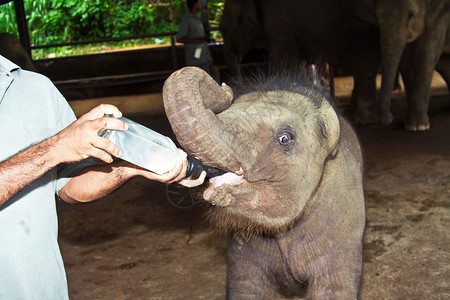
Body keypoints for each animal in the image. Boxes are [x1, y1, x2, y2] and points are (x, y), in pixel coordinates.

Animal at [366, 0, 450, 131]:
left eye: (410, 16)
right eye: (376, 17)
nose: (390, 117)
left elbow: (427, 54)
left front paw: (420, 127)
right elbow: (406, 60)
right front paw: (412, 126)